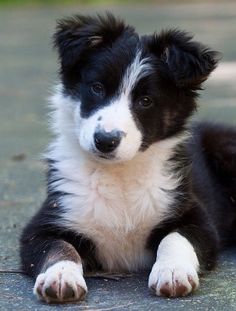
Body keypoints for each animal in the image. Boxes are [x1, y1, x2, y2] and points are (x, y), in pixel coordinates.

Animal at [20, 13, 236, 304]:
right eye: (97, 88)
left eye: (145, 100)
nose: (105, 140)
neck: (119, 173)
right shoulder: (46, 223)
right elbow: (59, 248)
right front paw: (61, 276)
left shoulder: (195, 216)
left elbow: (174, 238)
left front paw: (172, 272)